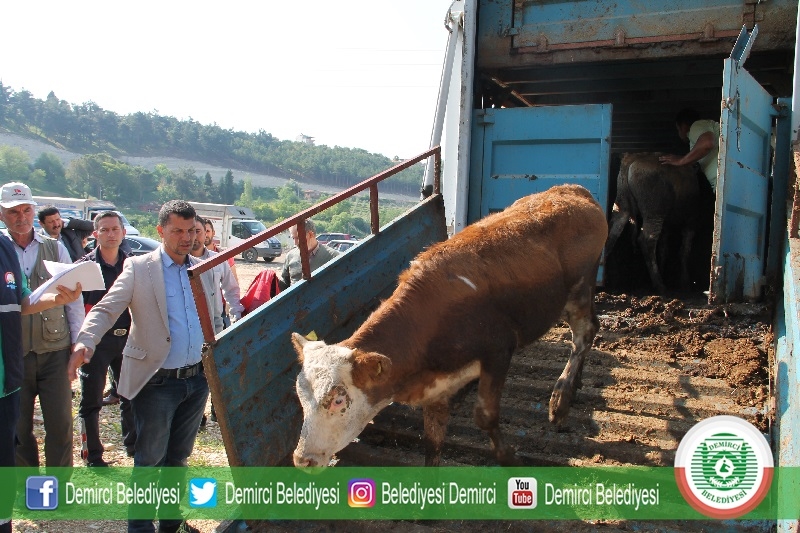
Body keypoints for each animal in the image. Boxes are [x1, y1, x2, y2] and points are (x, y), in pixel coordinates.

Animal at [291, 184, 607, 467]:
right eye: (301, 398)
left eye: (338, 400)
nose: (302, 459)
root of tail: (572, 190)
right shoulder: (436, 388)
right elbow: (432, 442)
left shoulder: (499, 350)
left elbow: (485, 416)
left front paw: (509, 458)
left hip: (579, 289)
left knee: (584, 335)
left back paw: (561, 399)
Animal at [605, 152, 700, 294]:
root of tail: (631, 160)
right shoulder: (690, 222)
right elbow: (684, 251)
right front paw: (685, 283)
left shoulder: (667, 227)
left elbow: (664, 249)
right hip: (654, 214)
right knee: (647, 240)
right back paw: (659, 285)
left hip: (623, 206)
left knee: (612, 234)